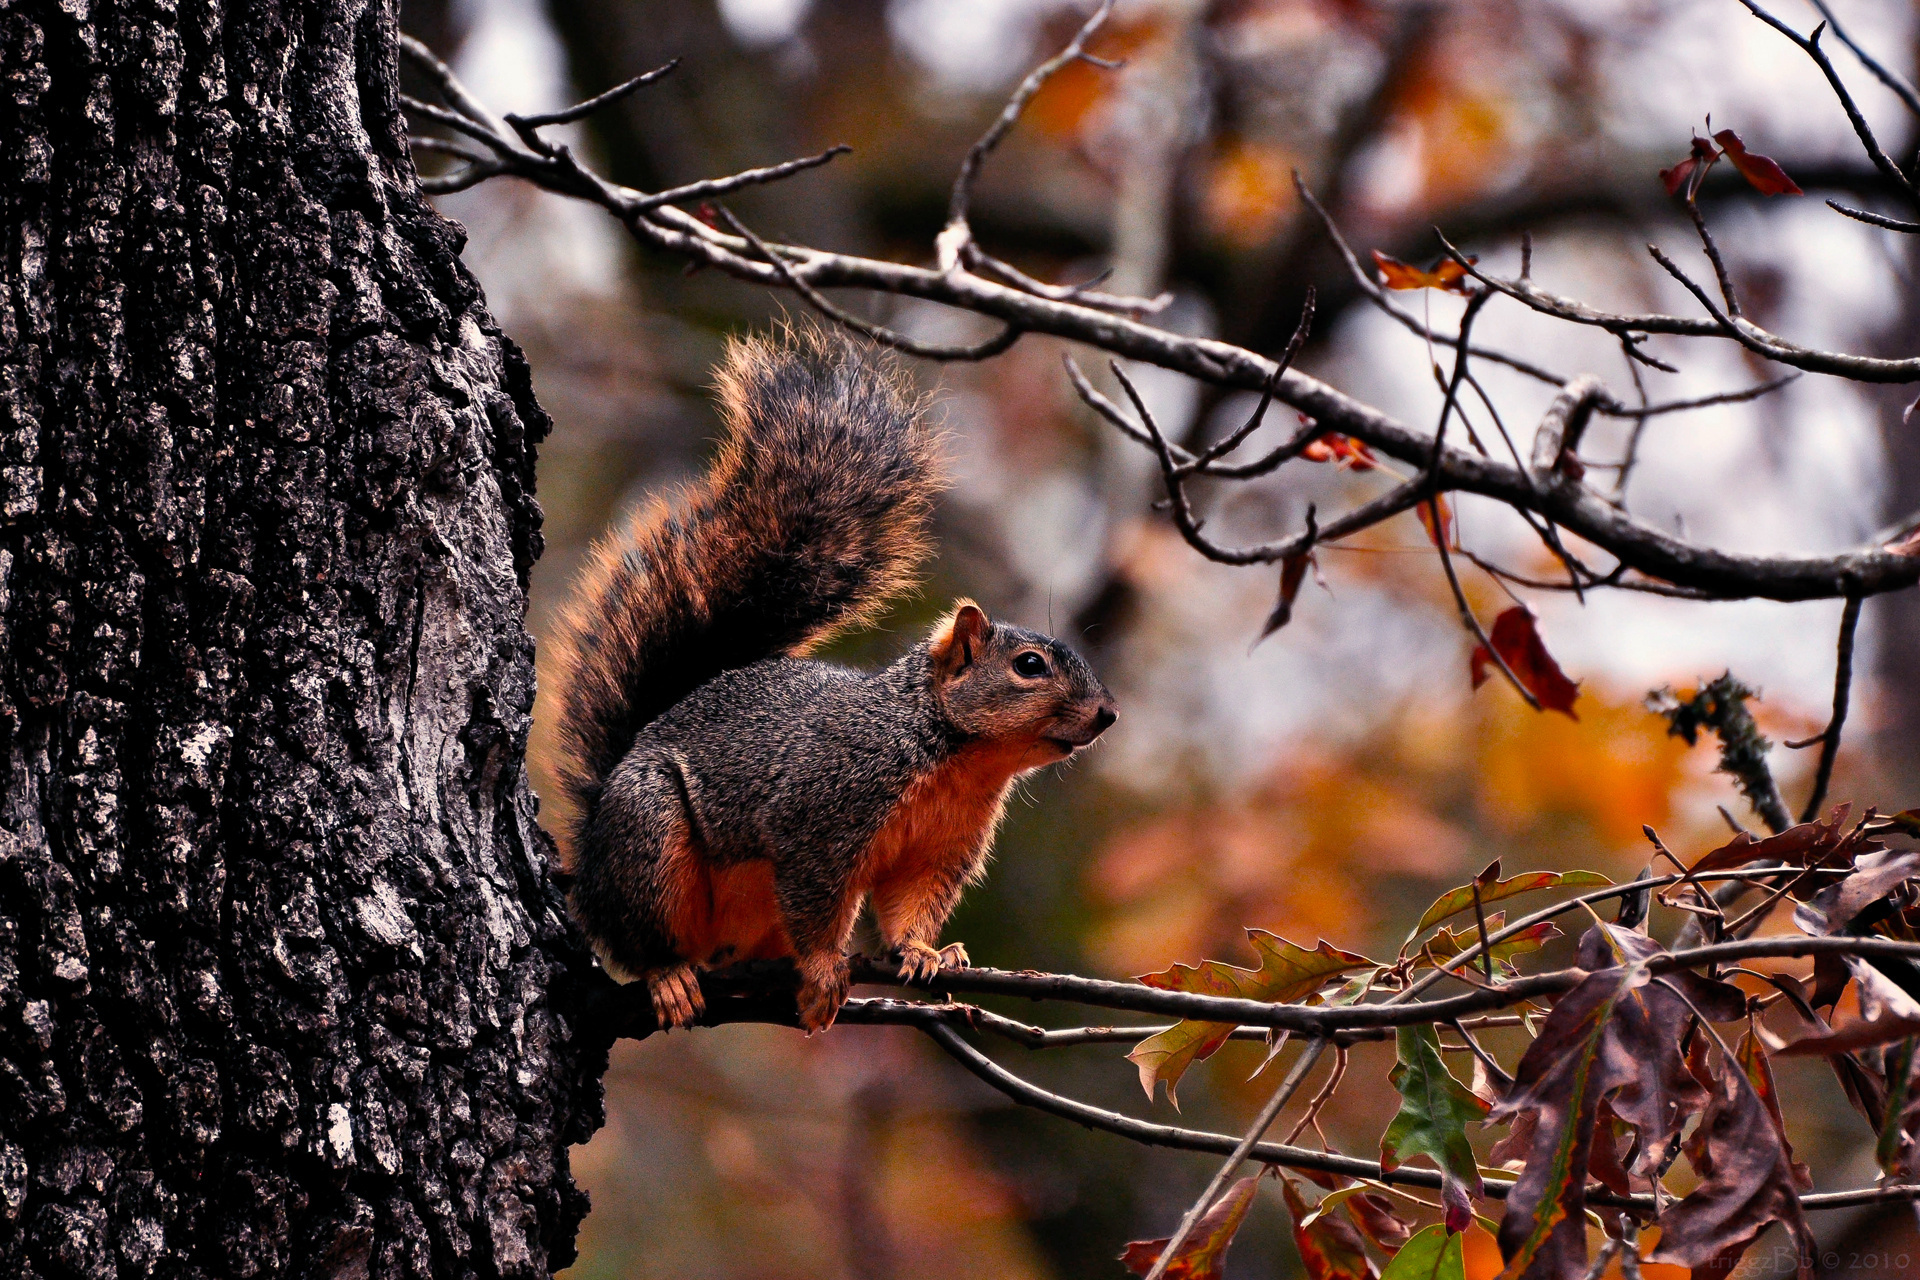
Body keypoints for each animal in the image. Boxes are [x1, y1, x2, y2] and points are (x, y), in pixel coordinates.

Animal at [549, 326, 1121, 1036]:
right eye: (1030, 666)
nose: (1107, 713)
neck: (956, 756)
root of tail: (590, 848)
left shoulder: (940, 848)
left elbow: (911, 903)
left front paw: (926, 951)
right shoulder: (822, 815)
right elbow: (816, 897)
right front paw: (824, 968)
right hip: (647, 833)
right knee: (639, 935)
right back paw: (671, 975)